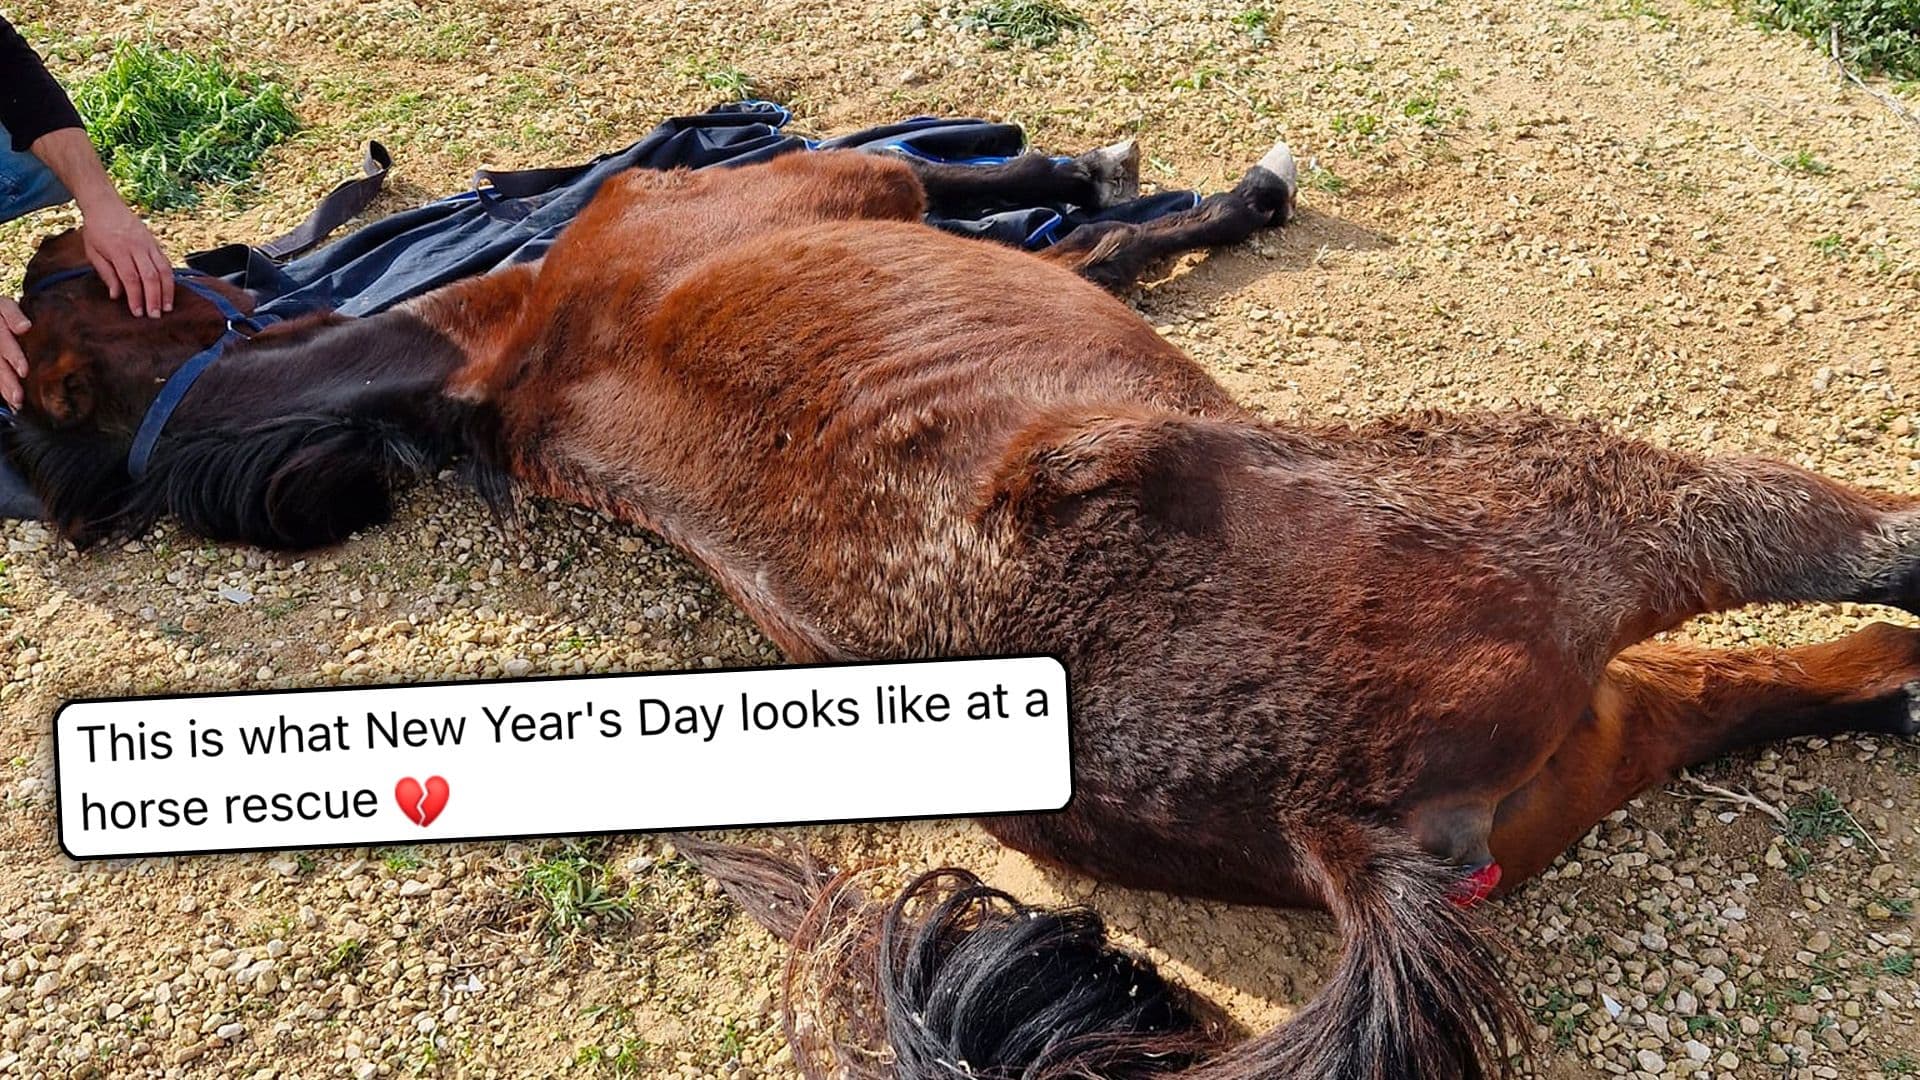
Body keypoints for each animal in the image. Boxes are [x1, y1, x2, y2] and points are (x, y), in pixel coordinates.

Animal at [8, 137, 1920, 1080]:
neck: (506, 348)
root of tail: (1335, 824)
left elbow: (1106, 246)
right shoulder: (865, 187)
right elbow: (1032, 209)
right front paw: (1197, 188)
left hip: (1602, 737)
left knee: (1807, 670)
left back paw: (1894, 692)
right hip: (1572, 499)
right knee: (1852, 553)